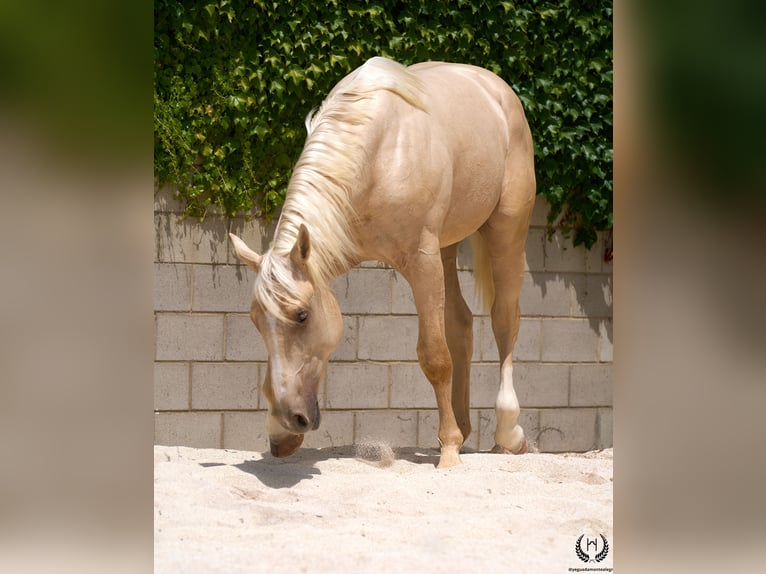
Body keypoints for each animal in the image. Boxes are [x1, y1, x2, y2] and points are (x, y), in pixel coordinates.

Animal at [229, 56, 535, 468]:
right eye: (256, 321)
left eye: (302, 315)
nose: (286, 424)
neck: (377, 155)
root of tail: (496, 88)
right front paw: (451, 440)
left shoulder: (421, 259)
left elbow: (434, 356)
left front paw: (449, 453)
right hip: (447, 247)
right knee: (461, 323)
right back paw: (463, 426)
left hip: (506, 231)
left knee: (504, 320)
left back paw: (507, 433)